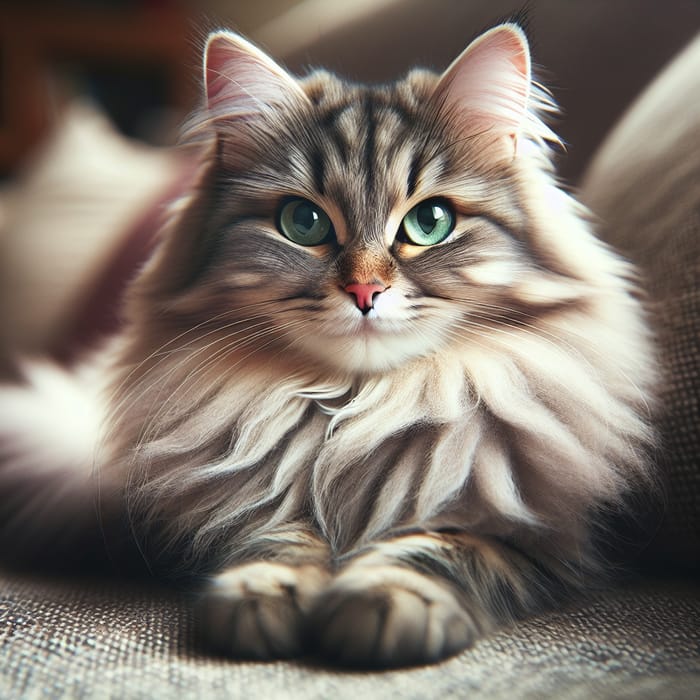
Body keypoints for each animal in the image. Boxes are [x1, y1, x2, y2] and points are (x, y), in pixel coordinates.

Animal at [1, 21, 656, 668]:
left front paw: (386, 603)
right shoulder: (249, 506)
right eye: (304, 223)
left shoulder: (535, 536)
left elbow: (440, 547)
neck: (360, 406)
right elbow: (276, 538)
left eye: (431, 222)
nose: (365, 290)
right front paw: (263, 593)